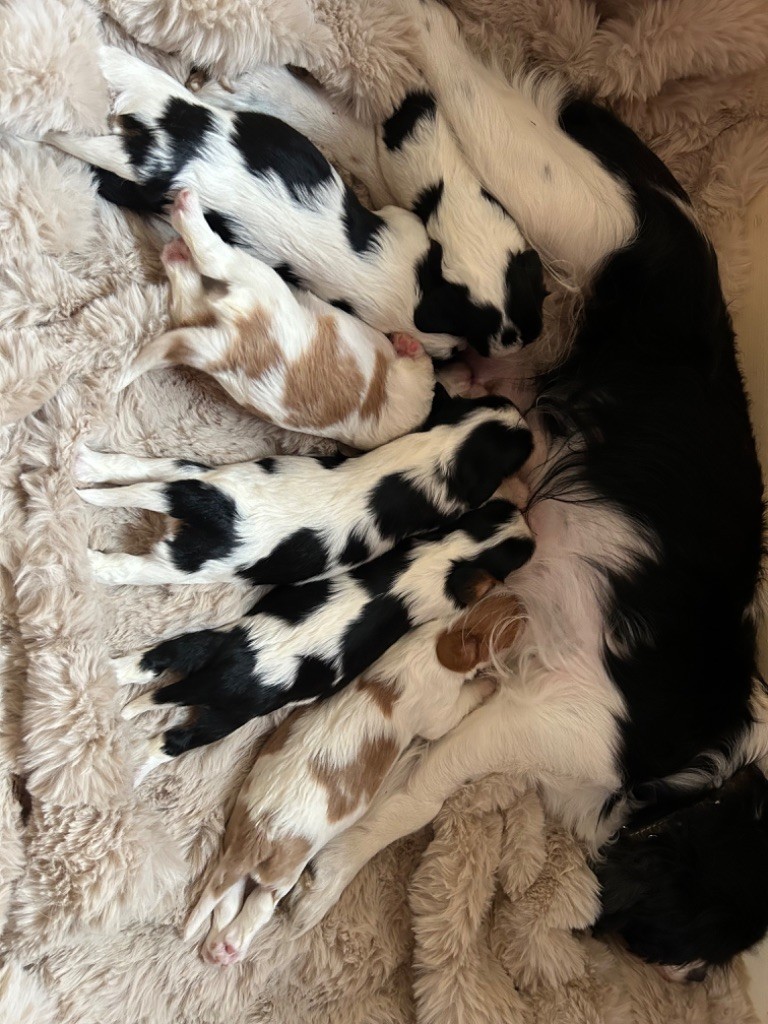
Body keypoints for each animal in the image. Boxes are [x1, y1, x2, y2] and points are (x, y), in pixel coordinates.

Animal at [76, 389, 536, 585]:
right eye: (519, 451)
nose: (528, 425)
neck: (444, 445)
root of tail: (209, 504)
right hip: (194, 566)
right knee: (130, 568)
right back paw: (91, 567)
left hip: (197, 472)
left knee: (140, 469)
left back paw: (89, 463)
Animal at [115, 189, 438, 452]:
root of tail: (225, 347)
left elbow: (420, 364)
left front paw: (407, 345)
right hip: (251, 287)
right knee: (199, 280)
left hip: (254, 284)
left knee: (208, 265)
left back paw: (181, 232)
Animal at [115, 497, 536, 774]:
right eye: (520, 555)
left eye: (495, 512)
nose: (526, 522)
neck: (454, 553)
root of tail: (224, 672)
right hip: (228, 718)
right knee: (171, 742)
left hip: (211, 641)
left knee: (161, 660)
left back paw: (122, 674)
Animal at [278, 2, 768, 991]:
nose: (665, 971)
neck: (698, 770)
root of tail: (679, 215)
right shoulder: (552, 715)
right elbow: (411, 801)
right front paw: (334, 874)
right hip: (571, 208)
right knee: (457, 74)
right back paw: (411, 25)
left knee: (367, 153)